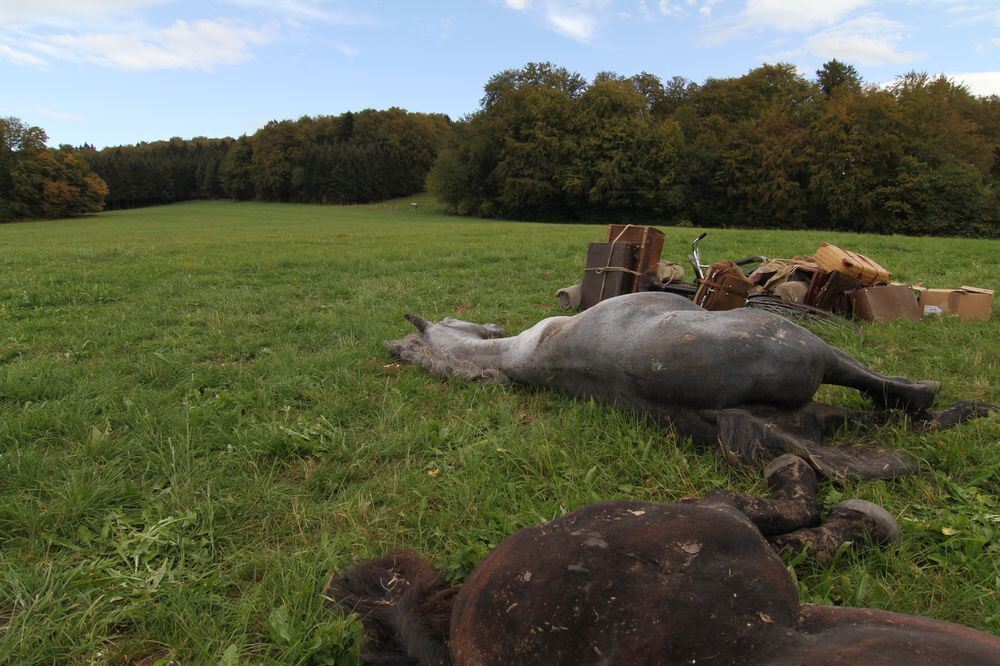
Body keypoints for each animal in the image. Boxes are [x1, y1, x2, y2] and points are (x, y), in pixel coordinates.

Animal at [386, 290, 988, 478]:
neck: (528, 354)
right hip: (807, 346)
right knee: (896, 395)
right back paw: (947, 398)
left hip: (807, 418)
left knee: (886, 418)